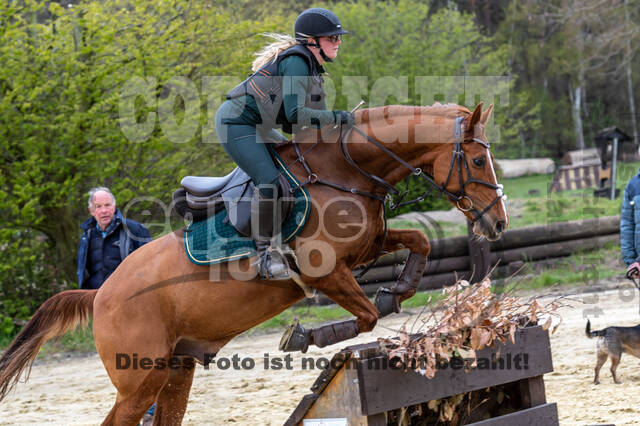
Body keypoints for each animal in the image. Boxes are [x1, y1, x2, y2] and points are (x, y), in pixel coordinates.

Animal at [1, 102, 510, 422]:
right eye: (478, 161)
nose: (498, 222)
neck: (344, 171)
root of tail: (99, 294)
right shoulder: (325, 270)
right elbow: (365, 315)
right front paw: (304, 336)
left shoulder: (368, 247)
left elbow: (418, 244)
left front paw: (398, 289)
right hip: (139, 381)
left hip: (176, 371)